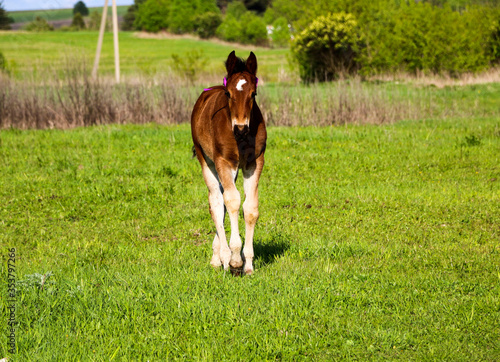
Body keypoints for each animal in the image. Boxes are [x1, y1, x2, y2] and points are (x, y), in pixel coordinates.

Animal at [190, 51, 268, 274]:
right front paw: (234, 260)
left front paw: (248, 263)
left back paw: (218, 256)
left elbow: (250, 208)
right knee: (217, 202)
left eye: (253, 94)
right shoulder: (224, 161)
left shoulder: (254, 163)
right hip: (207, 161)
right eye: (228, 94)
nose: (241, 129)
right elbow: (232, 201)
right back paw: (223, 258)